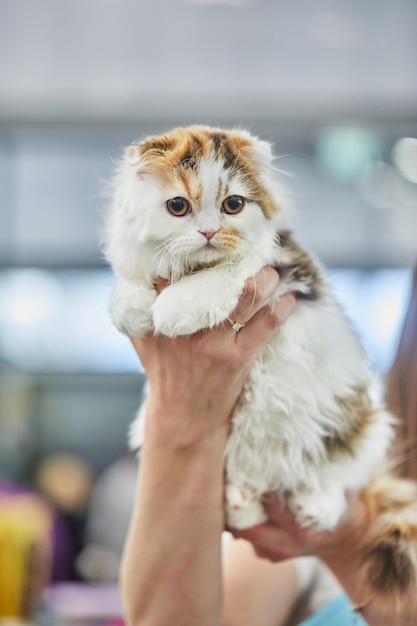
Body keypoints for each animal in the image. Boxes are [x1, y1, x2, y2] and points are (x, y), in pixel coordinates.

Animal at [103, 123, 416, 596]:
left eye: (233, 205)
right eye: (178, 206)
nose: (210, 232)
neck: (194, 265)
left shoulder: (279, 263)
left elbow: (228, 269)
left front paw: (174, 310)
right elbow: (129, 283)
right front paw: (134, 310)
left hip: (367, 425)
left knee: (338, 476)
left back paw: (315, 506)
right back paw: (241, 500)